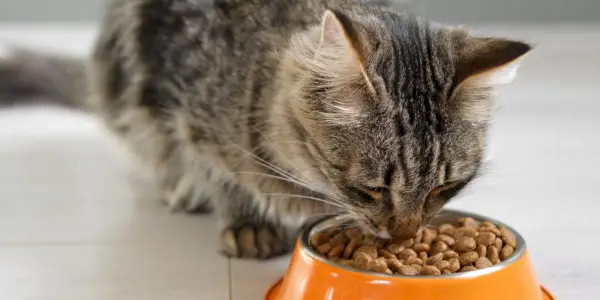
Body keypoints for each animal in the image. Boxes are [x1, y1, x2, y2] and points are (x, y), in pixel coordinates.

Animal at [0, 0, 528, 258]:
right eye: (372, 189)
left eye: (443, 188)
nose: (404, 237)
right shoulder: (180, 104)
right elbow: (218, 170)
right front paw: (246, 220)